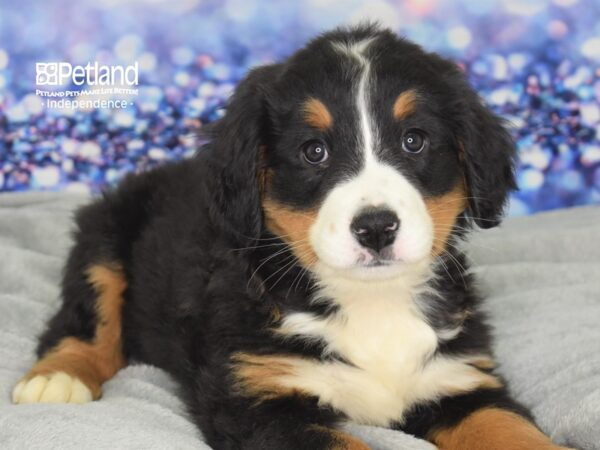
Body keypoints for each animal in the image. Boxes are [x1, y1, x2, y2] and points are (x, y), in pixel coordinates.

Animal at [11, 25, 568, 450]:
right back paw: (56, 378)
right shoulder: (256, 400)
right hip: (104, 235)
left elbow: (510, 427)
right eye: (313, 151)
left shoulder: (458, 380)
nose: (376, 227)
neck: (371, 303)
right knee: (84, 321)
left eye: (415, 141)